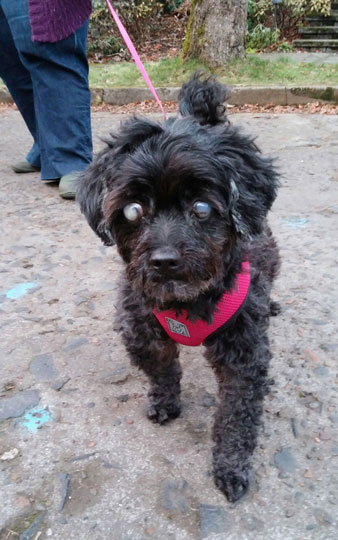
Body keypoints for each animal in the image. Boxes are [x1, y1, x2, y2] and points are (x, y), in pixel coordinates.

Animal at [77, 74, 280, 504]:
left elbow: (236, 416)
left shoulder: (244, 356)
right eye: (133, 210)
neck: (185, 303)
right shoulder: (142, 332)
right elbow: (162, 371)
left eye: (202, 209)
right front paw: (165, 402)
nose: (165, 260)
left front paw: (230, 466)